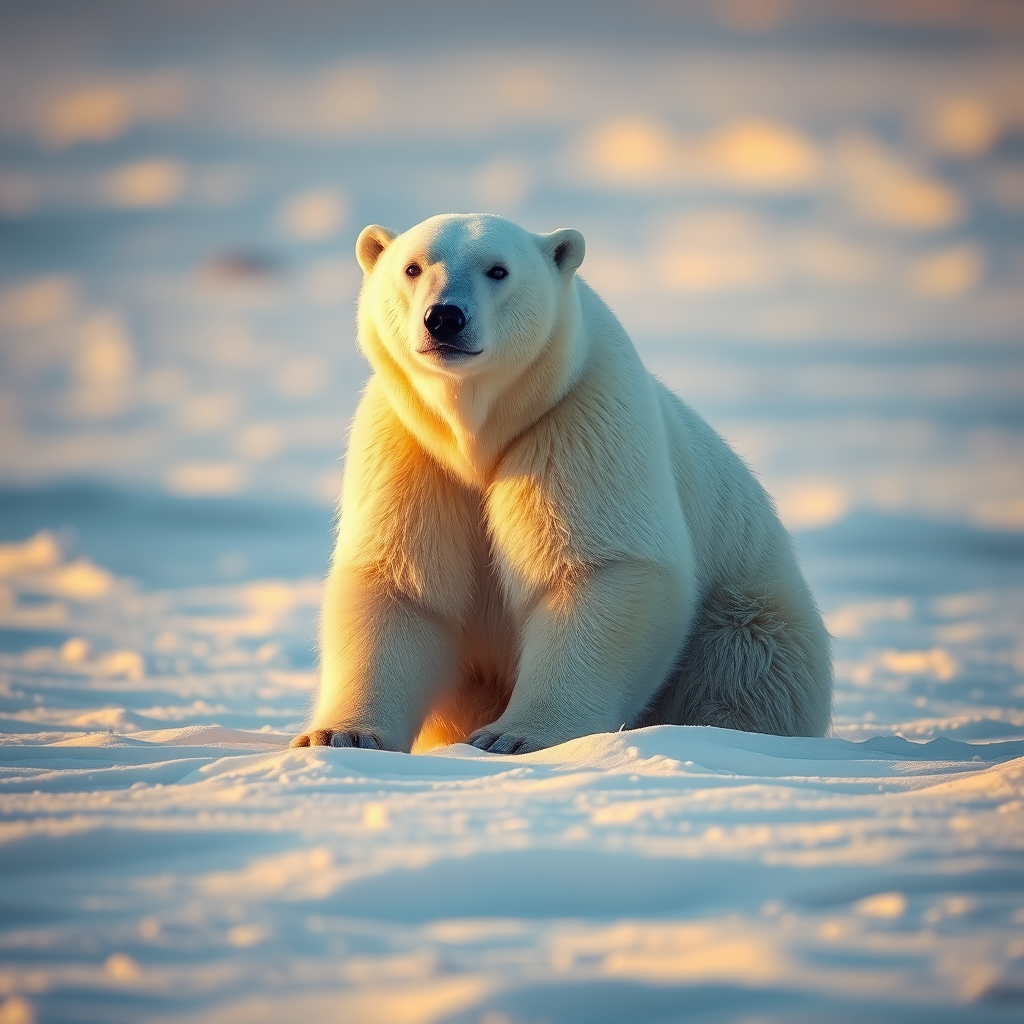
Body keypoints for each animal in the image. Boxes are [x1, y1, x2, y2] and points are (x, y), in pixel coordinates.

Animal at [291, 213, 832, 755]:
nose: (444, 317)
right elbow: (400, 583)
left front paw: (513, 736)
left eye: (498, 269)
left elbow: (596, 569)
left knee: (742, 671)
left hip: (749, 611)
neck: (477, 435)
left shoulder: (579, 418)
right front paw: (341, 734)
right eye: (412, 267)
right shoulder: (408, 445)